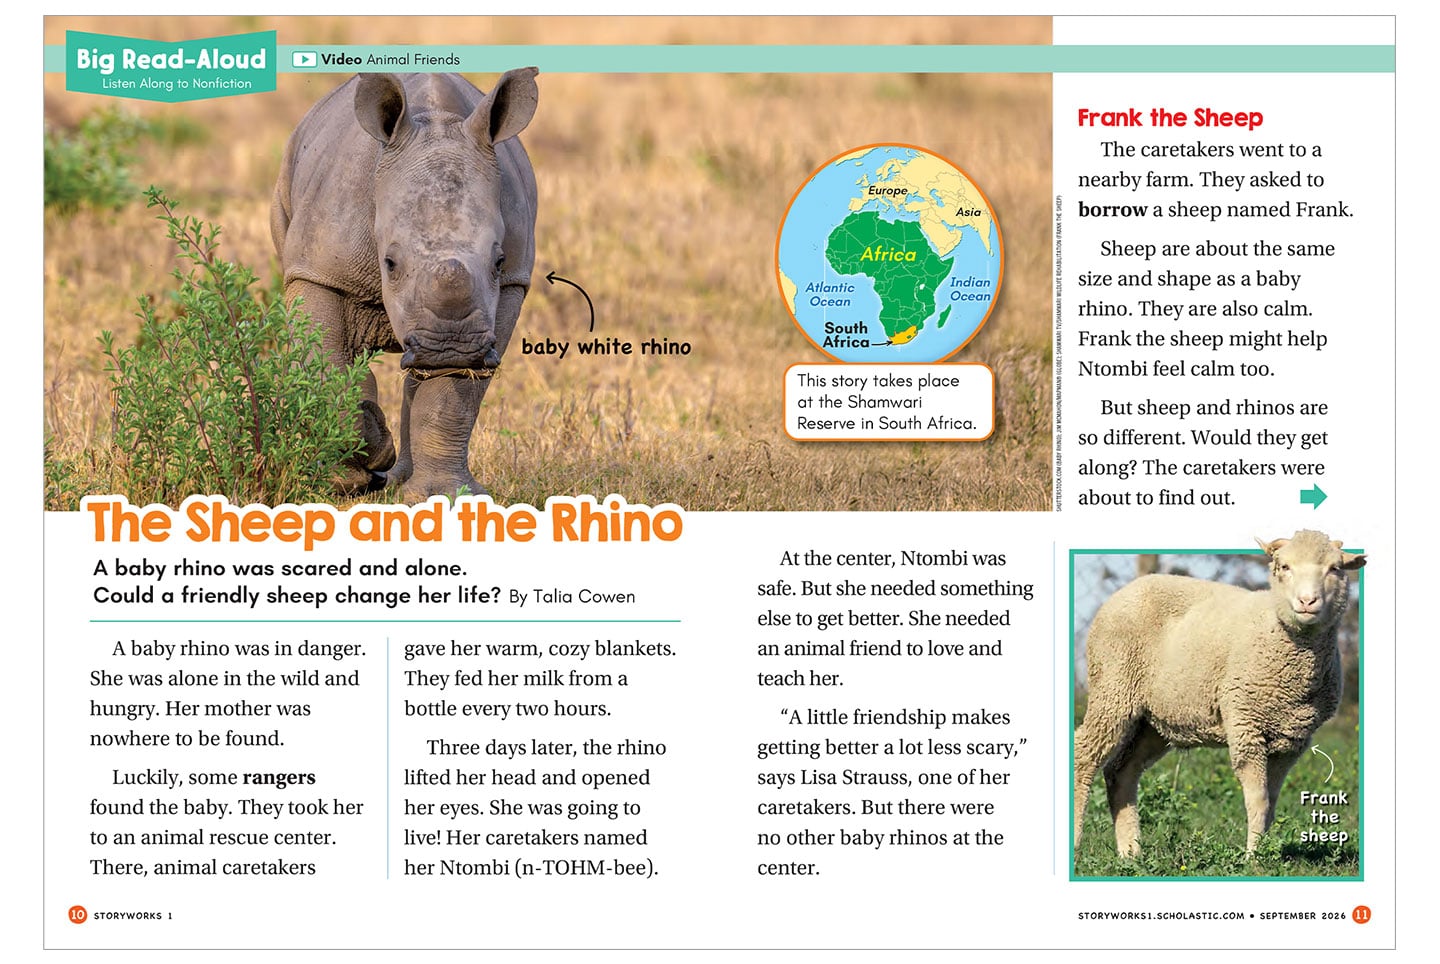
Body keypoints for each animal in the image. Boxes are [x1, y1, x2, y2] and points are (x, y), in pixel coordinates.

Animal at [271, 70, 539, 500]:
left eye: (498, 262)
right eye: (390, 264)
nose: (451, 348)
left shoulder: (513, 282)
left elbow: (453, 399)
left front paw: (442, 497)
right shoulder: (317, 270)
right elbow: (325, 361)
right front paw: (350, 472)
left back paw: (397, 482)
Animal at [1073, 530, 1365, 859]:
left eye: (1334, 569)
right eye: (1284, 567)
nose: (1307, 601)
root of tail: (1129, 588)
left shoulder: (1292, 740)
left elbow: (1272, 800)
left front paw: (1264, 851)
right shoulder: (1245, 721)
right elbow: (1258, 798)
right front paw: (1253, 858)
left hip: (1155, 719)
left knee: (1120, 772)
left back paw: (1131, 853)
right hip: (1113, 688)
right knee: (1083, 755)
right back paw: (1077, 841)